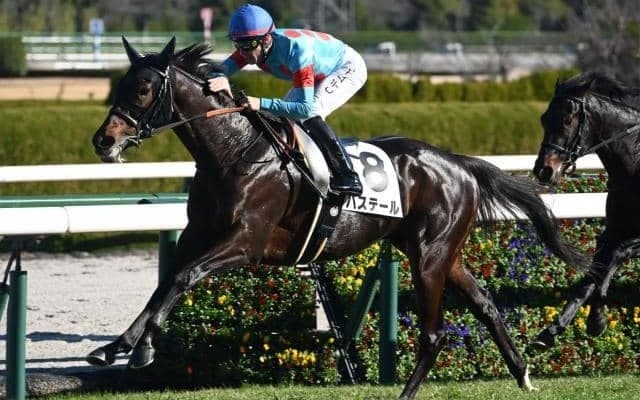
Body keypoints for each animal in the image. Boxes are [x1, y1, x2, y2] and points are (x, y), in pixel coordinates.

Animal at [89, 37, 587, 399]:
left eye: (143, 89)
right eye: (119, 86)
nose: (103, 140)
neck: (234, 152)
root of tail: (459, 164)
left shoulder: (245, 242)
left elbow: (182, 277)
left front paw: (140, 348)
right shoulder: (199, 234)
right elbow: (166, 282)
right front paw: (118, 347)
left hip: (429, 256)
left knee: (434, 334)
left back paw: (410, 392)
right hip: (441, 251)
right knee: (485, 304)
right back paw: (523, 373)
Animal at [531, 71, 640, 351]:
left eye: (568, 119)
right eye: (544, 118)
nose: (544, 170)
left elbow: (615, 257)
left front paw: (596, 321)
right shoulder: (613, 230)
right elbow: (593, 274)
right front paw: (549, 332)